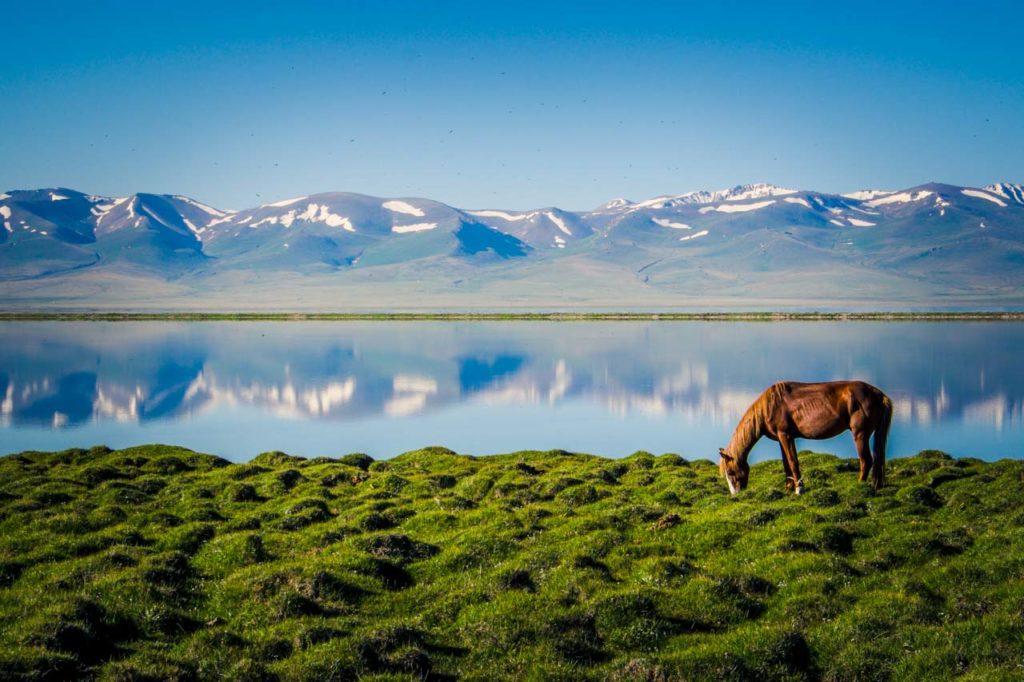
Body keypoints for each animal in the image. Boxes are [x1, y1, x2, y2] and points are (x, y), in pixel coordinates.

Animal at [716, 376, 892, 493]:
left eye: (730, 472)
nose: (736, 495)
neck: (770, 406)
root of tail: (878, 394)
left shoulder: (786, 436)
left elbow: (793, 462)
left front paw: (799, 488)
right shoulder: (781, 439)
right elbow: (786, 463)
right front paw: (789, 488)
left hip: (860, 435)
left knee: (866, 460)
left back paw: (860, 485)